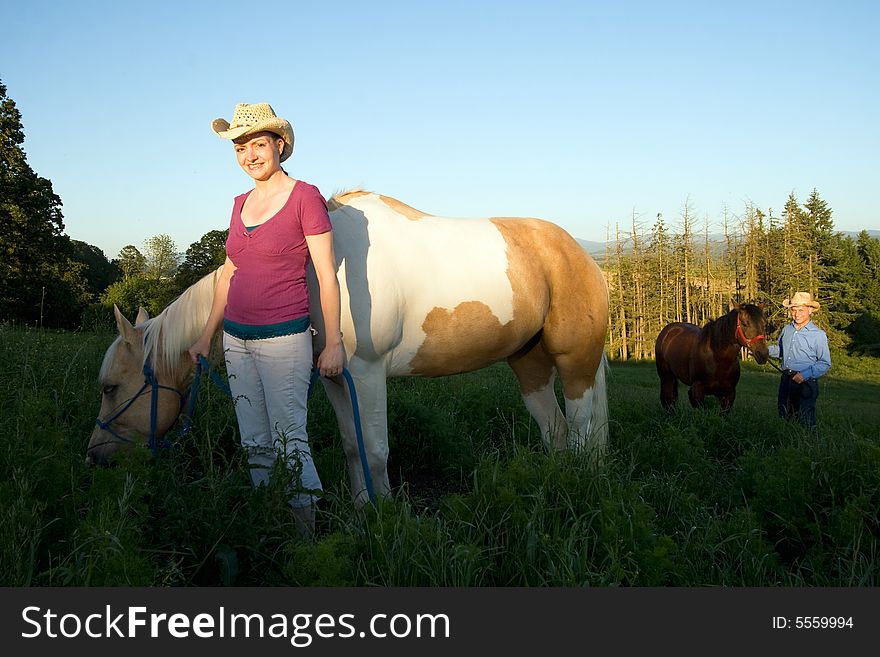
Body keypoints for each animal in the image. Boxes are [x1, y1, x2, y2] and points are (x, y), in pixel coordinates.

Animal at [89, 190, 612, 502]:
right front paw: (363, 513)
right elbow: (352, 448)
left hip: (576, 363)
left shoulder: (366, 373)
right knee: (555, 430)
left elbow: (376, 450)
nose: (93, 457)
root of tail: (585, 258)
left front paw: (386, 516)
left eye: (111, 387)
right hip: (529, 364)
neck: (320, 271)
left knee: (583, 431)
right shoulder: (336, 379)